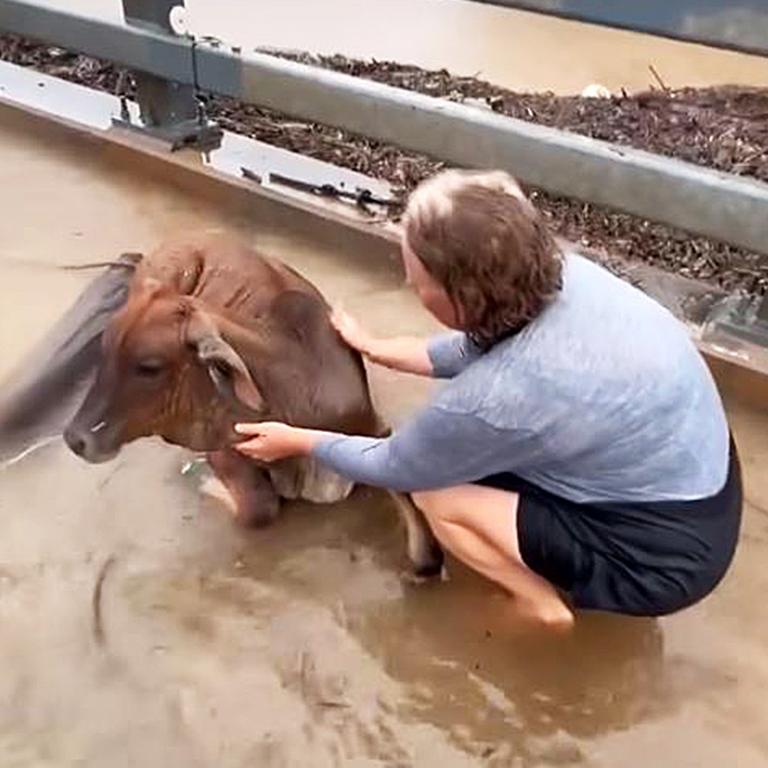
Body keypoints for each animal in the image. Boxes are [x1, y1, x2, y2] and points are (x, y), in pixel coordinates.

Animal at [0, 234, 444, 576]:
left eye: (149, 366)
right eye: (105, 350)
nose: (76, 439)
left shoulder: (377, 434)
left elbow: (424, 552)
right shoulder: (221, 446)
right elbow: (258, 507)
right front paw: (204, 481)